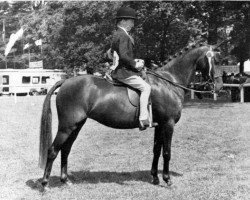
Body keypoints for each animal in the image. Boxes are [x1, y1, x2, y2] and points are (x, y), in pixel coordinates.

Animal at [39, 44, 225, 188]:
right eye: (215, 61)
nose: (219, 86)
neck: (168, 82)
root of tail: (66, 81)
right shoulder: (168, 124)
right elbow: (167, 152)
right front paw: (167, 179)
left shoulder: (159, 125)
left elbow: (156, 150)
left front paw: (155, 178)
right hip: (67, 126)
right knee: (53, 150)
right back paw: (45, 183)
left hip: (77, 125)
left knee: (66, 150)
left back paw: (65, 180)